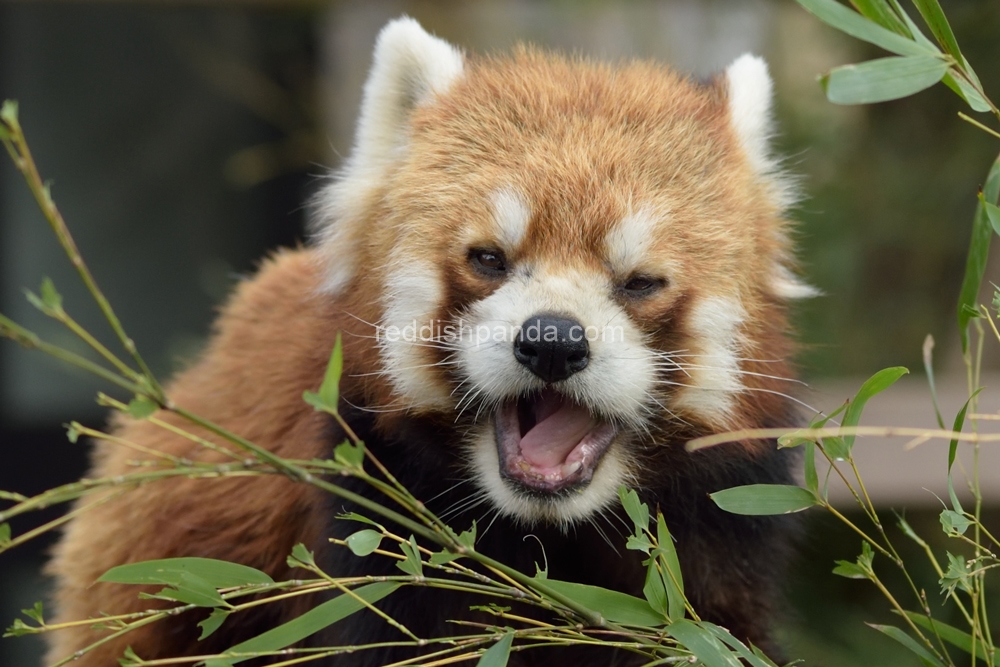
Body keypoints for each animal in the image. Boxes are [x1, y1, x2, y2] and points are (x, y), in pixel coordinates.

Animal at [45, 17, 812, 667]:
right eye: (489, 259)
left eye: (642, 281)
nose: (553, 342)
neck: (548, 533)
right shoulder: (378, 522)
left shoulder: (707, 551)